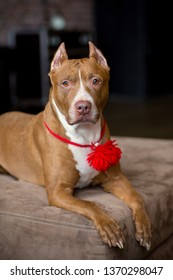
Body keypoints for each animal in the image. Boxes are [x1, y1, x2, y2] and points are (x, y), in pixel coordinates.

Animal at [0, 41, 151, 249]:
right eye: (65, 83)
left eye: (95, 80)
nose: (83, 106)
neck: (84, 136)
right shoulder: (58, 192)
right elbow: (89, 204)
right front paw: (108, 226)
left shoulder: (116, 179)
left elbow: (137, 197)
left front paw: (144, 227)